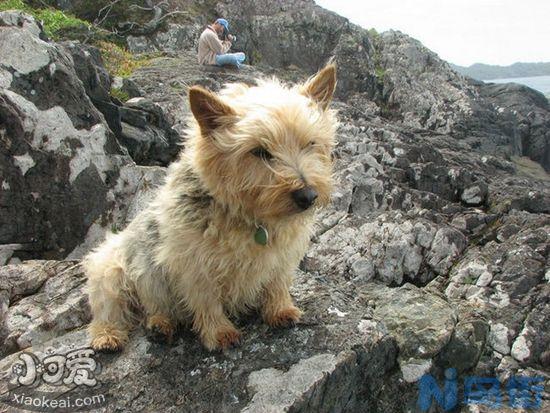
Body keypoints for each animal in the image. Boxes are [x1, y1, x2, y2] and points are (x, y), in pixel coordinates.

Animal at [84, 62, 338, 350]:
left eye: (310, 143)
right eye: (260, 151)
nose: (308, 196)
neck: (252, 218)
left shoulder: (283, 258)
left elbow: (277, 284)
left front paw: (280, 310)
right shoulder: (194, 266)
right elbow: (207, 300)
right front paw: (220, 333)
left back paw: (160, 324)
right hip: (110, 269)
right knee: (112, 308)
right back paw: (115, 334)